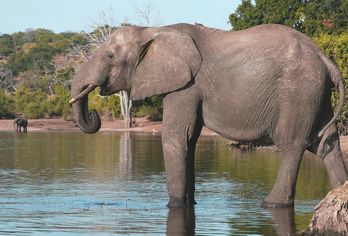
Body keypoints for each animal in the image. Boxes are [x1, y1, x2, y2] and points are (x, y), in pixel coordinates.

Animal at [70, 23, 348, 208]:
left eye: (109, 56)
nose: (93, 114)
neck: (152, 31)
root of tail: (325, 58)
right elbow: (190, 139)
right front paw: (189, 204)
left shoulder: (185, 85)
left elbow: (176, 136)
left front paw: (175, 206)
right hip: (315, 93)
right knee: (327, 145)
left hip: (297, 92)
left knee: (292, 145)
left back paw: (271, 204)